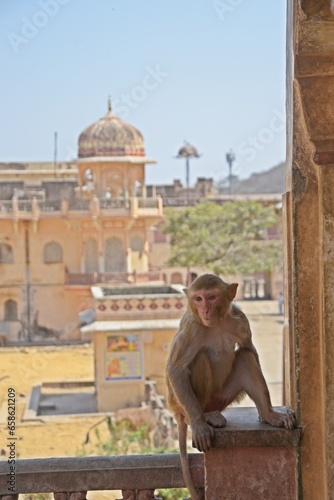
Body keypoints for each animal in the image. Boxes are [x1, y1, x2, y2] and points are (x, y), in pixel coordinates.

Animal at [166, 274, 296, 500]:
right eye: (198, 299)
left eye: (211, 297)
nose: (205, 310)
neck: (217, 323)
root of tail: (177, 411)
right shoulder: (192, 328)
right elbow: (176, 368)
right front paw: (199, 426)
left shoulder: (240, 320)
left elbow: (249, 348)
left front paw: (268, 414)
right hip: (183, 404)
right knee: (199, 359)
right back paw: (203, 417)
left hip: (221, 397)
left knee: (245, 357)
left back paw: (267, 415)